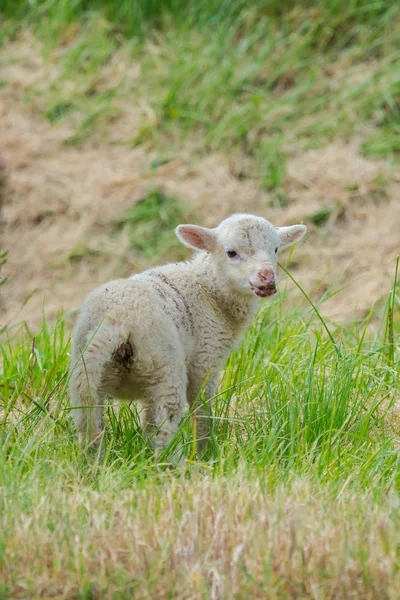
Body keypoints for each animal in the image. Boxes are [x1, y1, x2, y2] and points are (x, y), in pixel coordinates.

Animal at [69, 213, 306, 458]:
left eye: (276, 249)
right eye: (231, 252)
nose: (267, 278)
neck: (208, 289)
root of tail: (117, 318)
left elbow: (148, 421)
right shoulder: (205, 357)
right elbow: (202, 410)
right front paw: (204, 453)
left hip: (85, 375)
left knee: (90, 426)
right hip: (164, 365)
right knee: (165, 428)